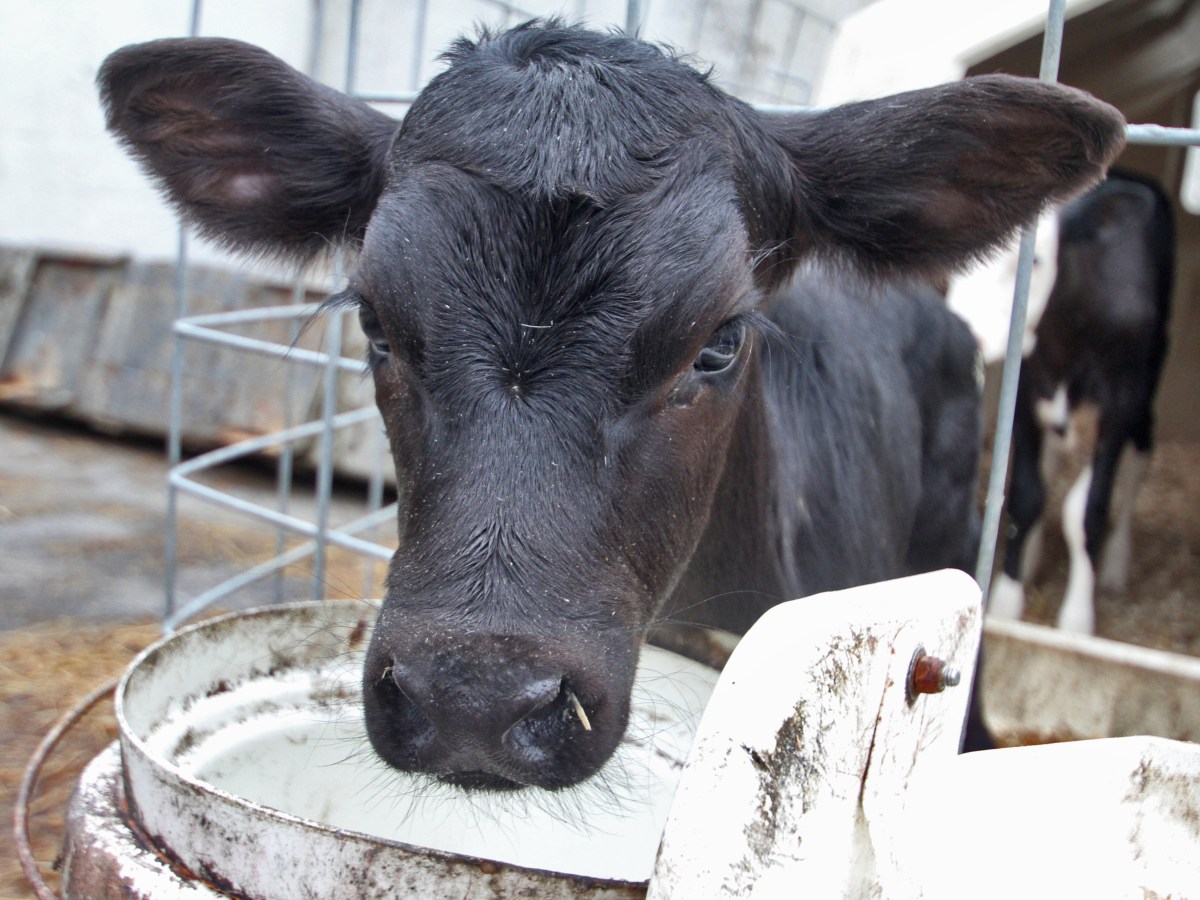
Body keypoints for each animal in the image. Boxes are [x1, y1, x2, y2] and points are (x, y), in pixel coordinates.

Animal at [976, 172, 1174, 634]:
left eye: (1033, 260)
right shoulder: (1027, 387)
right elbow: (1027, 493)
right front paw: (1007, 600)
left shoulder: (1119, 403)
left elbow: (1087, 510)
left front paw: (1077, 619)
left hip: (1148, 383)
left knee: (1140, 459)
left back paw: (1117, 564)